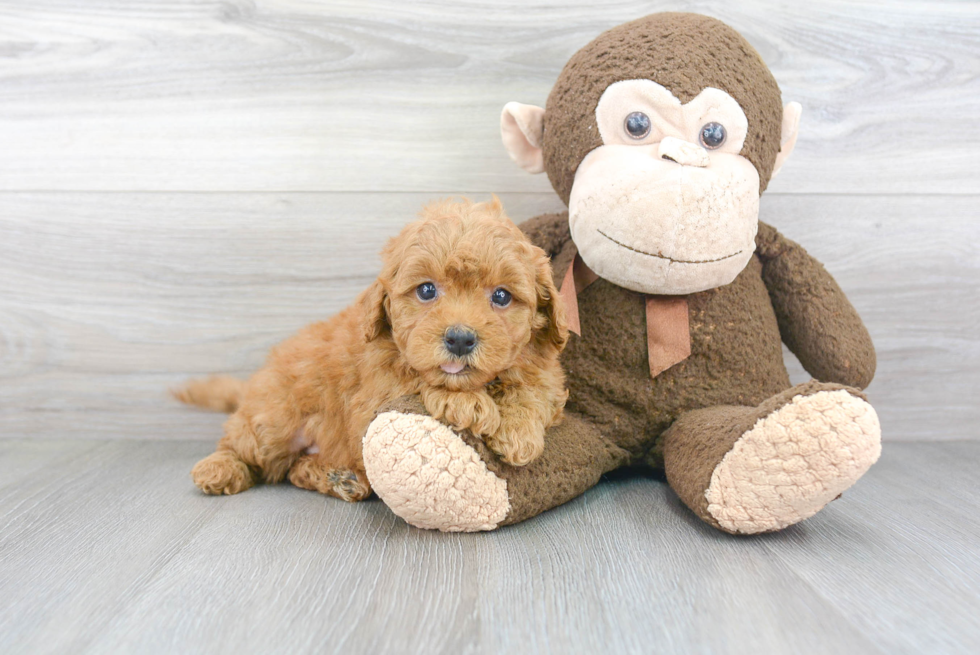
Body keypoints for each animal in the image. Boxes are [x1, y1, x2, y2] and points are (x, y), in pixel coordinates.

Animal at [180, 197, 572, 500]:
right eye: (426, 290)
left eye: (502, 296)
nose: (460, 339)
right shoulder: (372, 396)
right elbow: (417, 379)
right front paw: (470, 404)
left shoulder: (547, 373)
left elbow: (534, 389)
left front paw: (519, 431)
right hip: (275, 417)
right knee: (243, 443)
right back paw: (218, 469)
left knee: (293, 470)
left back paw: (340, 479)